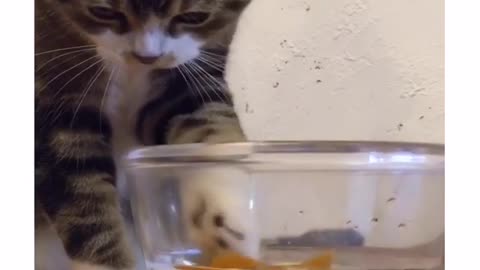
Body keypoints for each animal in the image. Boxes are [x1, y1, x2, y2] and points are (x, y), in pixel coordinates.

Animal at [36, 0, 253, 270]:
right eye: (102, 12)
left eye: (194, 17)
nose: (147, 57)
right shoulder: (57, 102)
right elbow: (82, 197)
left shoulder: (191, 78)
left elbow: (208, 125)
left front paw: (230, 216)